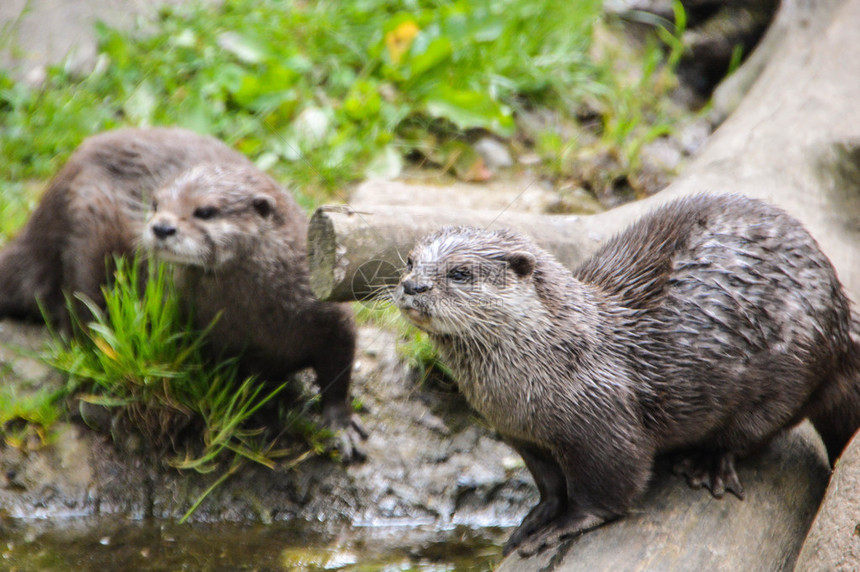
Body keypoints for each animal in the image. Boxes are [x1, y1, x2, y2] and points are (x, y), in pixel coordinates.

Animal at [0, 126, 364, 460]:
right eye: (155, 204)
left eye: (205, 211)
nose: (162, 227)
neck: (267, 318)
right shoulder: (220, 345)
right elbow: (247, 384)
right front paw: (264, 422)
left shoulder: (329, 310)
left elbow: (339, 369)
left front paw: (340, 426)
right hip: (87, 234)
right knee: (76, 314)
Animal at [394, 193, 860, 556]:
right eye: (410, 261)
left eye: (460, 273)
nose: (412, 286)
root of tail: (840, 308)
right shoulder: (521, 436)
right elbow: (550, 485)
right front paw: (534, 520)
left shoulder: (602, 420)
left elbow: (608, 487)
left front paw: (560, 528)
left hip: (792, 363)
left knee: (757, 429)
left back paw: (707, 464)